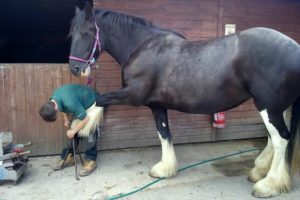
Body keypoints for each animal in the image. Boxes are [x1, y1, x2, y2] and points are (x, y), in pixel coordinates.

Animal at [68, 3, 300, 198]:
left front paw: (79, 126)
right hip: (273, 107)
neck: (142, 47)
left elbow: (99, 100)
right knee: (272, 138)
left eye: (86, 33)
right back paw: (259, 171)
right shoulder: (156, 105)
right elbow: (163, 133)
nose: (75, 68)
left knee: (281, 139)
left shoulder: (132, 95)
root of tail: (295, 48)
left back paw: (269, 184)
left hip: (268, 106)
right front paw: (165, 169)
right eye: (72, 33)